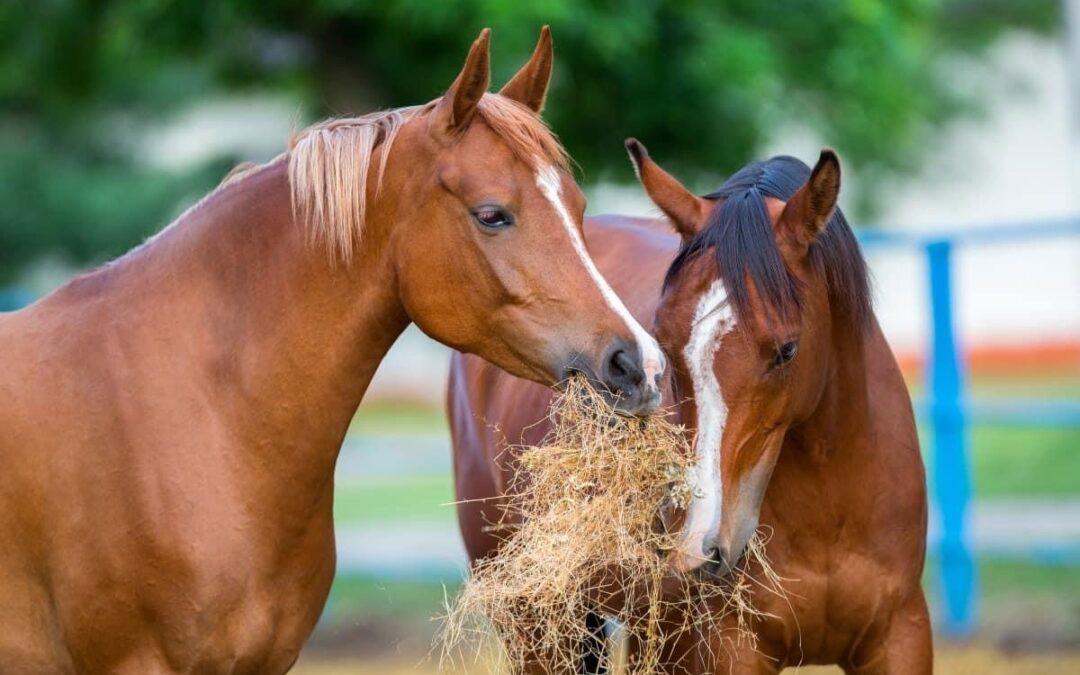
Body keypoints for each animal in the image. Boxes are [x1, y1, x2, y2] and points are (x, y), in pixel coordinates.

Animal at [451, 142, 933, 669]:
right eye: (663, 341)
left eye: (787, 350)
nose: (698, 545)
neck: (831, 508)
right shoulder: (728, 649)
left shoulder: (901, 638)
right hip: (538, 626)